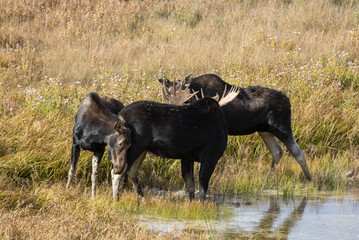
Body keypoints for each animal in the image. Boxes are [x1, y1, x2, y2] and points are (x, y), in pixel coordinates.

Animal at [112, 86, 242, 201]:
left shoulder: (187, 157)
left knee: (131, 172)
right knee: (117, 173)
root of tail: (120, 115)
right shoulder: (210, 155)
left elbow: (190, 186)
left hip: (142, 150)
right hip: (133, 148)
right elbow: (202, 188)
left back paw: (141, 197)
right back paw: (117, 199)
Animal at [159, 74, 314, 181]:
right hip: (264, 130)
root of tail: (289, 102)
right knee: (277, 151)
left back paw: (310, 179)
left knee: (298, 152)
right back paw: (267, 178)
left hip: (282, 126)